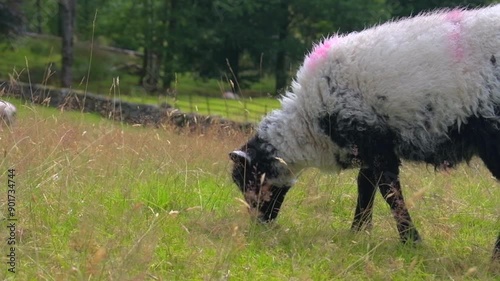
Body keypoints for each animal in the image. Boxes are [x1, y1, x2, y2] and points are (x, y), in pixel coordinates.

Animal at [230, 4, 500, 260]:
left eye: (247, 179)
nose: (261, 224)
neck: (308, 126)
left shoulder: (375, 142)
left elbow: (389, 193)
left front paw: (411, 241)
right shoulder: (367, 149)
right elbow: (365, 188)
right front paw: (357, 233)